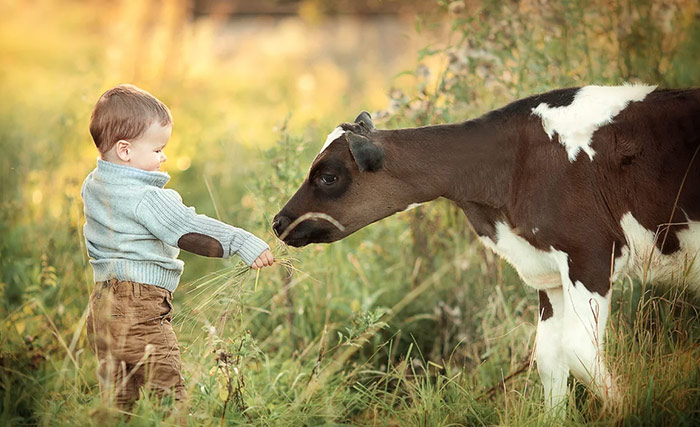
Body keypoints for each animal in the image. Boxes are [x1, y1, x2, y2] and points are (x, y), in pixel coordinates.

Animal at [272, 85, 700, 410]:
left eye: (328, 176)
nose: (277, 223)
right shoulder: (549, 272)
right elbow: (549, 357)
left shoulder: (589, 254)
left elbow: (579, 351)